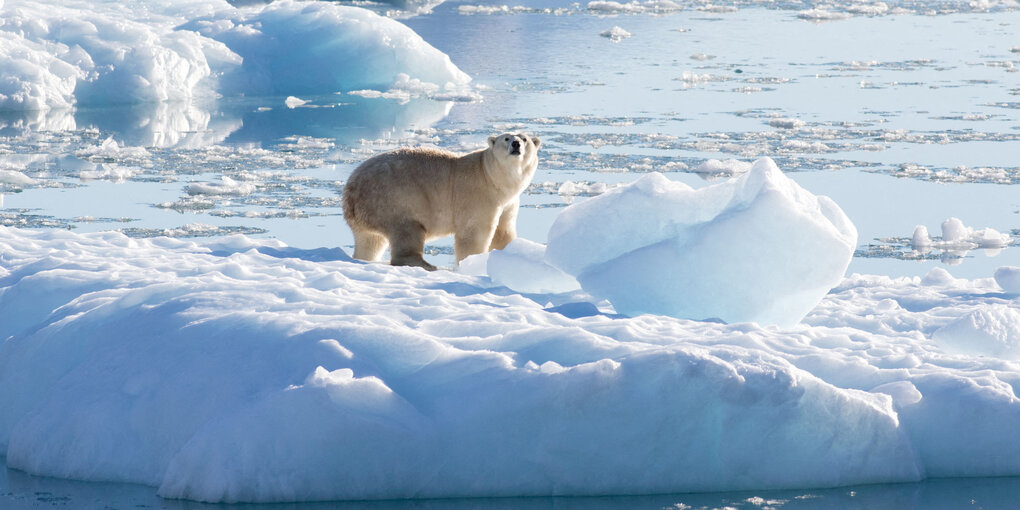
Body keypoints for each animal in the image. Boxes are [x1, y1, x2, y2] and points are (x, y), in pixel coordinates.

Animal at [340, 132, 542, 271]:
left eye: (524, 138)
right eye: (506, 138)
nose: (516, 144)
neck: (491, 176)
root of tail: (350, 190)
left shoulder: (508, 203)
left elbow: (503, 232)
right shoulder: (478, 194)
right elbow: (474, 233)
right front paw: (472, 263)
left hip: (369, 212)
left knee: (370, 240)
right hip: (394, 198)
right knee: (407, 230)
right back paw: (426, 264)